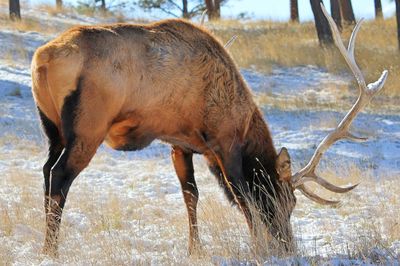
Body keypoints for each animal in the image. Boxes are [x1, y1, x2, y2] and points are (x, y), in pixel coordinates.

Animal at [32, 5, 388, 256]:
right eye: (286, 201)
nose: (287, 247)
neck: (242, 119)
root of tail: (43, 59)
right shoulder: (223, 141)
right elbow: (241, 196)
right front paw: (257, 247)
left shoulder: (180, 143)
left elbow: (191, 195)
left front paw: (195, 249)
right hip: (88, 126)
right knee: (60, 176)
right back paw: (51, 249)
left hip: (52, 129)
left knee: (47, 170)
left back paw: (45, 244)